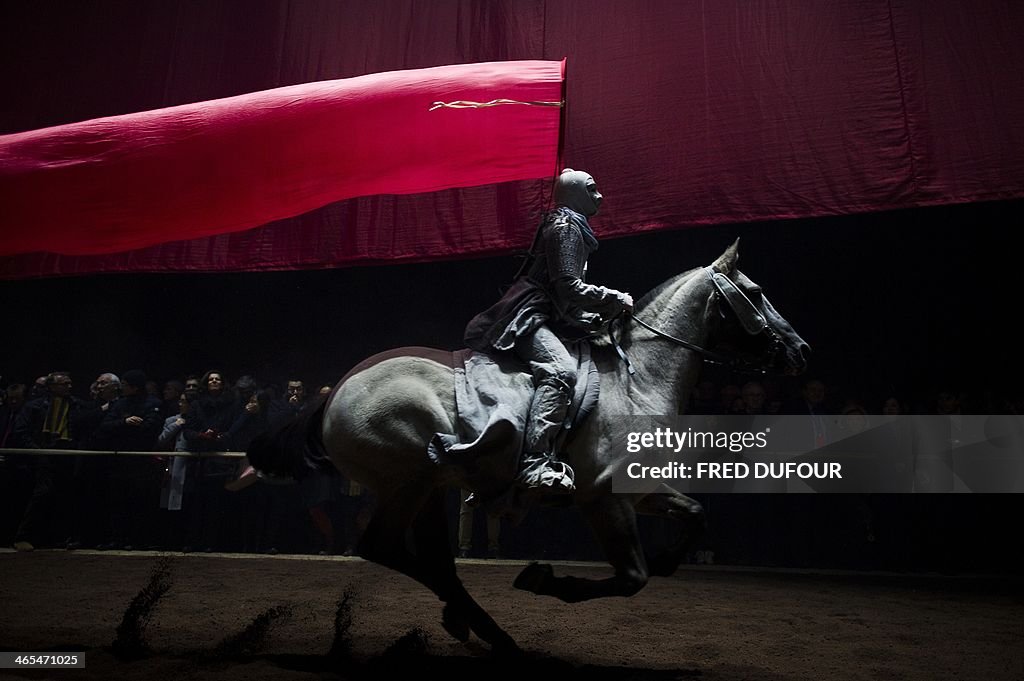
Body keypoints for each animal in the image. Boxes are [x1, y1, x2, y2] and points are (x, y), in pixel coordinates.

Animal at [247, 240, 806, 655]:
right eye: (756, 291)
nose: (800, 350)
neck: (637, 379)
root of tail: (334, 392)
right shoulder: (604, 497)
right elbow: (632, 577)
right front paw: (542, 579)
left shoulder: (642, 490)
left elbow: (695, 515)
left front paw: (670, 560)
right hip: (409, 484)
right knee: (385, 548)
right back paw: (490, 633)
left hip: (429, 488)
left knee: (434, 562)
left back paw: (474, 626)